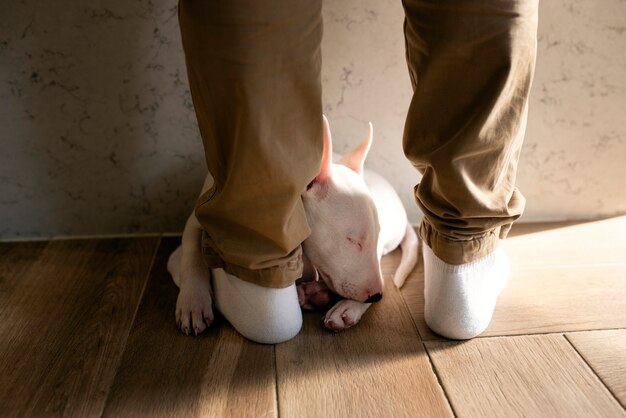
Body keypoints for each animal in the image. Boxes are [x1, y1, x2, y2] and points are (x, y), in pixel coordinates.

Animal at [168, 115, 416, 336]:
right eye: (352, 240)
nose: (377, 296)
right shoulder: (200, 215)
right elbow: (191, 253)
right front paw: (193, 303)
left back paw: (336, 304)